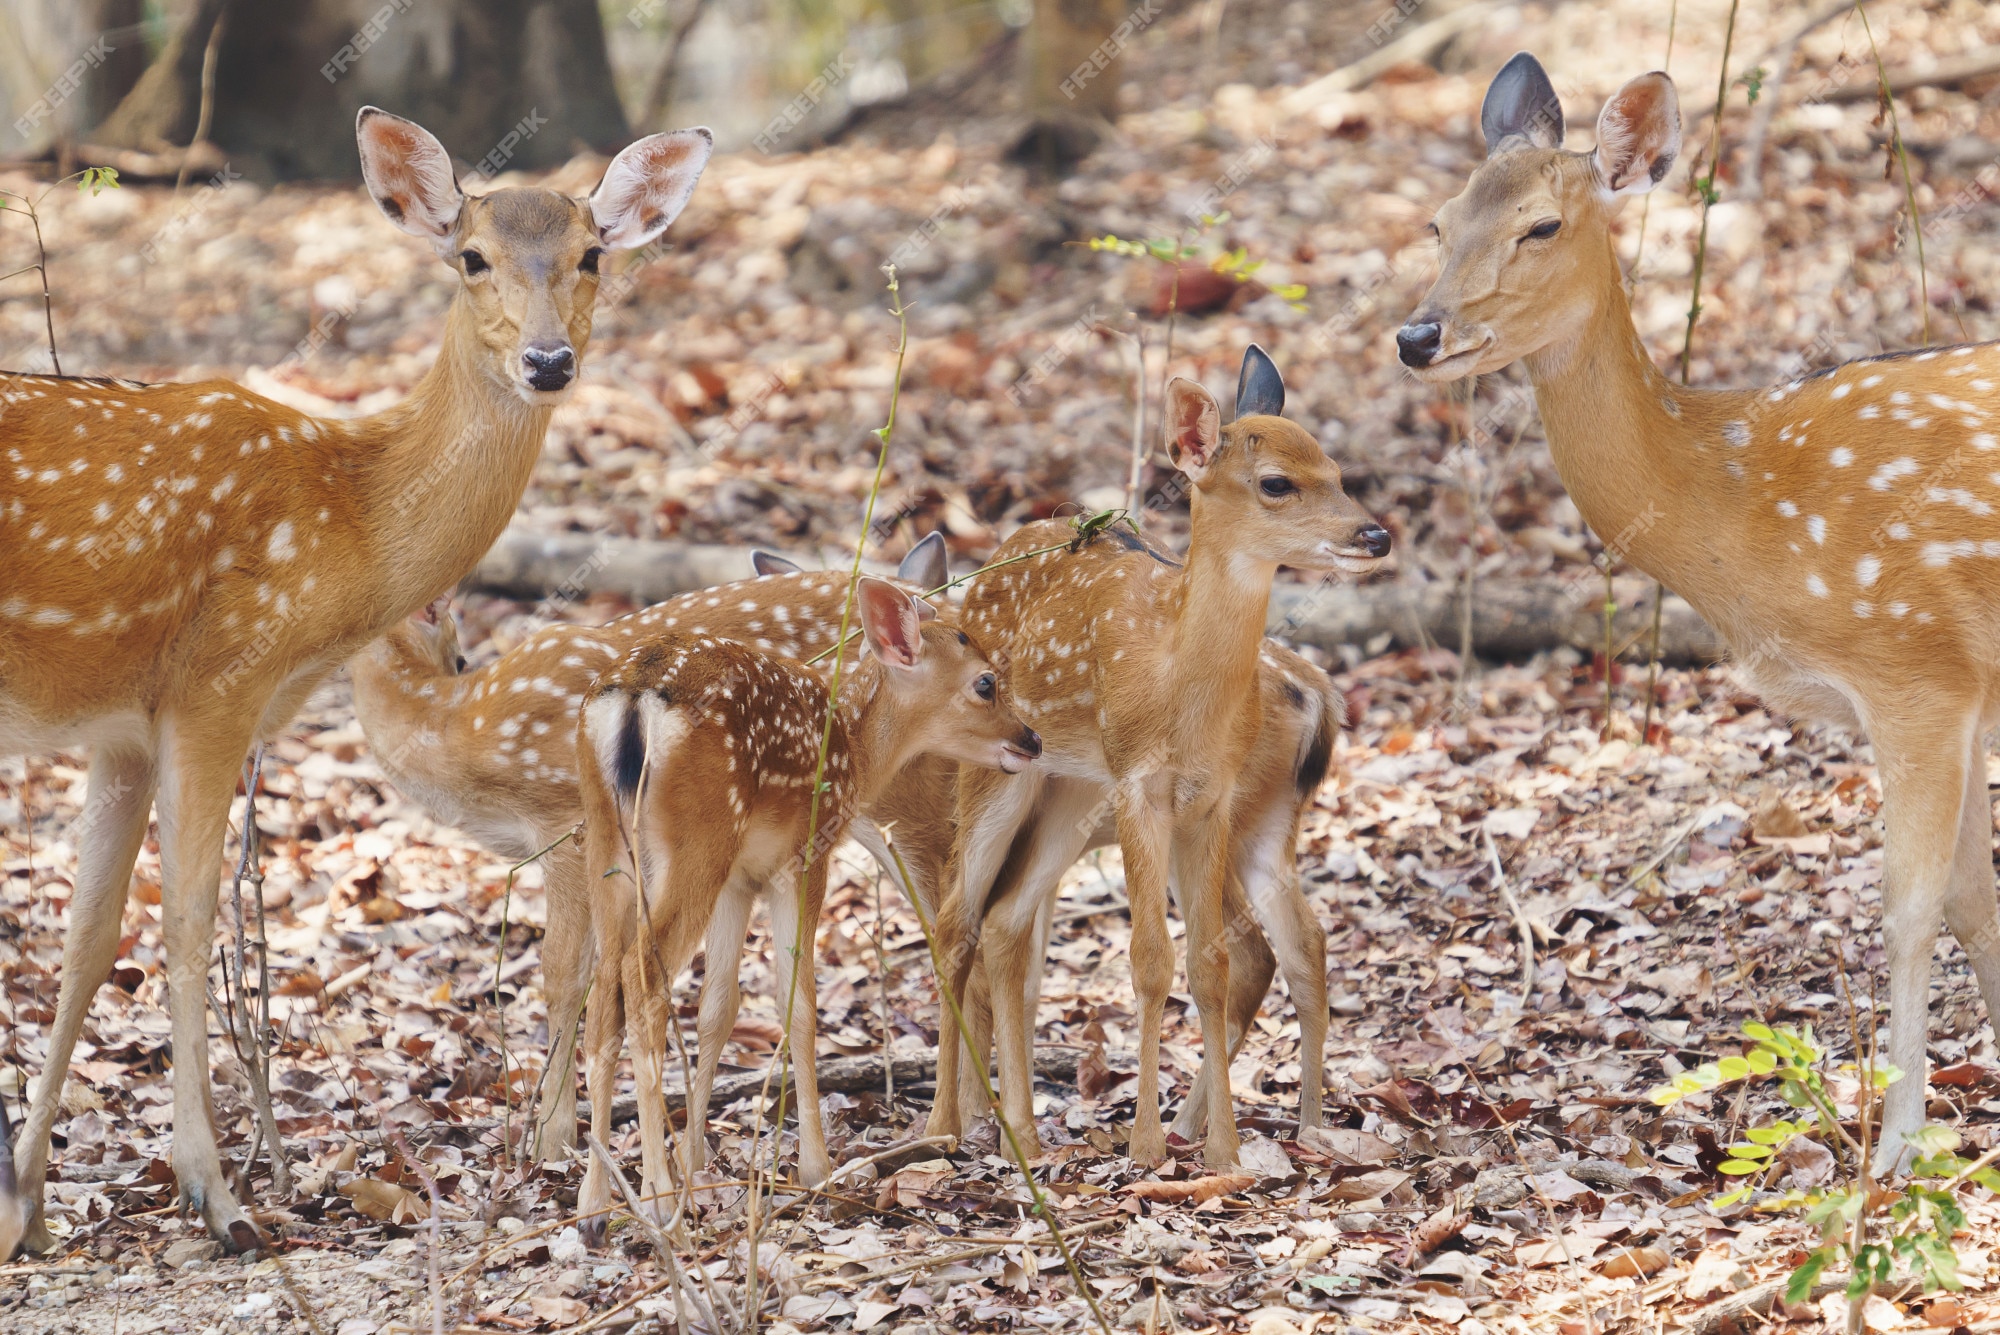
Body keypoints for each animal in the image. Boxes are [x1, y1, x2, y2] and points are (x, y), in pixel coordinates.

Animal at [0, 106, 716, 1255]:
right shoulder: (220, 676)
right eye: (471, 257)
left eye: (591, 256)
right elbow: (188, 918)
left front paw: (23, 1204)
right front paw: (217, 1195)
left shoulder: (122, 723)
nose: (547, 360)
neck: (350, 516)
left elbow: (88, 934)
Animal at [576, 575, 1048, 1223]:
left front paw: (698, 1164)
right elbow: (797, 1005)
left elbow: (718, 1010)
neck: (856, 749)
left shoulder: (739, 880)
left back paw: (595, 1200)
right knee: (641, 974)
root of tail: (634, 696)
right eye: (985, 682)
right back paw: (655, 1194)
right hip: (699, 835)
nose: (1031, 739)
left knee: (604, 988)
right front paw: (815, 1169)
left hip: (609, 839)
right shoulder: (805, 855)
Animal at [1400, 49, 2000, 1159]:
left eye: (1541, 225)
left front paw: (1895, 1149)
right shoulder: (1966, 688)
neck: (1736, 504)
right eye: (1438, 220)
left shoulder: (1915, 667)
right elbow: (1974, 903)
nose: (1417, 335)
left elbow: (1908, 908)